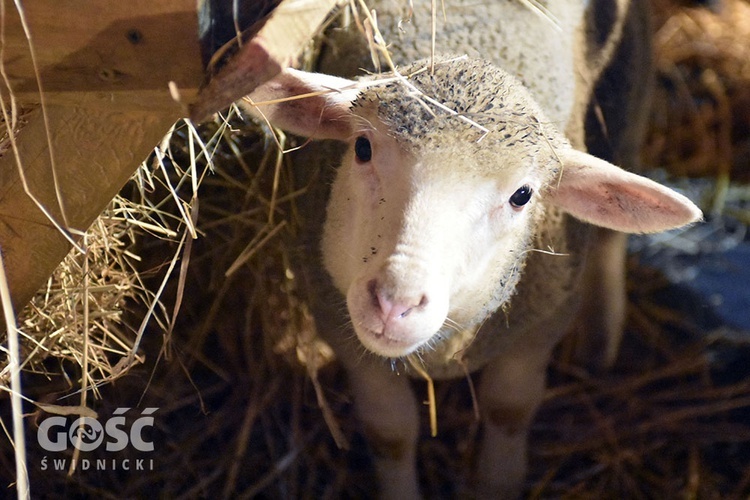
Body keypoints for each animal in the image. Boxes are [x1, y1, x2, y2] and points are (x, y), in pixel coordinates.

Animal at [242, 0, 704, 496]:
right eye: (362, 148)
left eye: (522, 195)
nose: (394, 303)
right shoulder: (340, 329)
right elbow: (389, 433)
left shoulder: (538, 329)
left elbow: (509, 411)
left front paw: (496, 483)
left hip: (629, 89)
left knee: (612, 236)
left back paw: (601, 341)